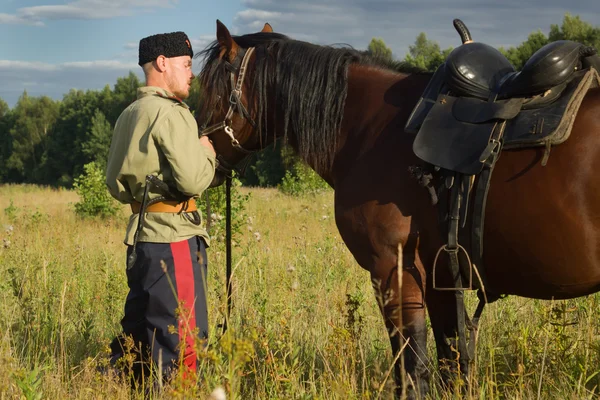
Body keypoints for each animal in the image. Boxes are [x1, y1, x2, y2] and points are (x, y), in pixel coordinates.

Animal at [197, 21, 600, 400]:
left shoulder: (393, 269)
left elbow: (412, 370)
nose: (207, 163)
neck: (370, 130)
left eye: (210, 89)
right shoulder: (440, 278)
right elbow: (449, 364)